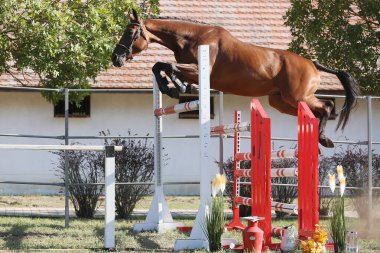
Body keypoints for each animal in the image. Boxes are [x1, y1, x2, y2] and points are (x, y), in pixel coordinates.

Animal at [110, 9, 360, 148]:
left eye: (130, 33)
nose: (116, 58)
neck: (192, 37)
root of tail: (313, 64)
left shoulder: (200, 70)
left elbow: (166, 65)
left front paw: (174, 87)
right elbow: (161, 66)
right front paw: (175, 87)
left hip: (298, 96)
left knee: (326, 107)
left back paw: (324, 140)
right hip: (281, 101)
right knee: (316, 113)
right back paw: (319, 141)